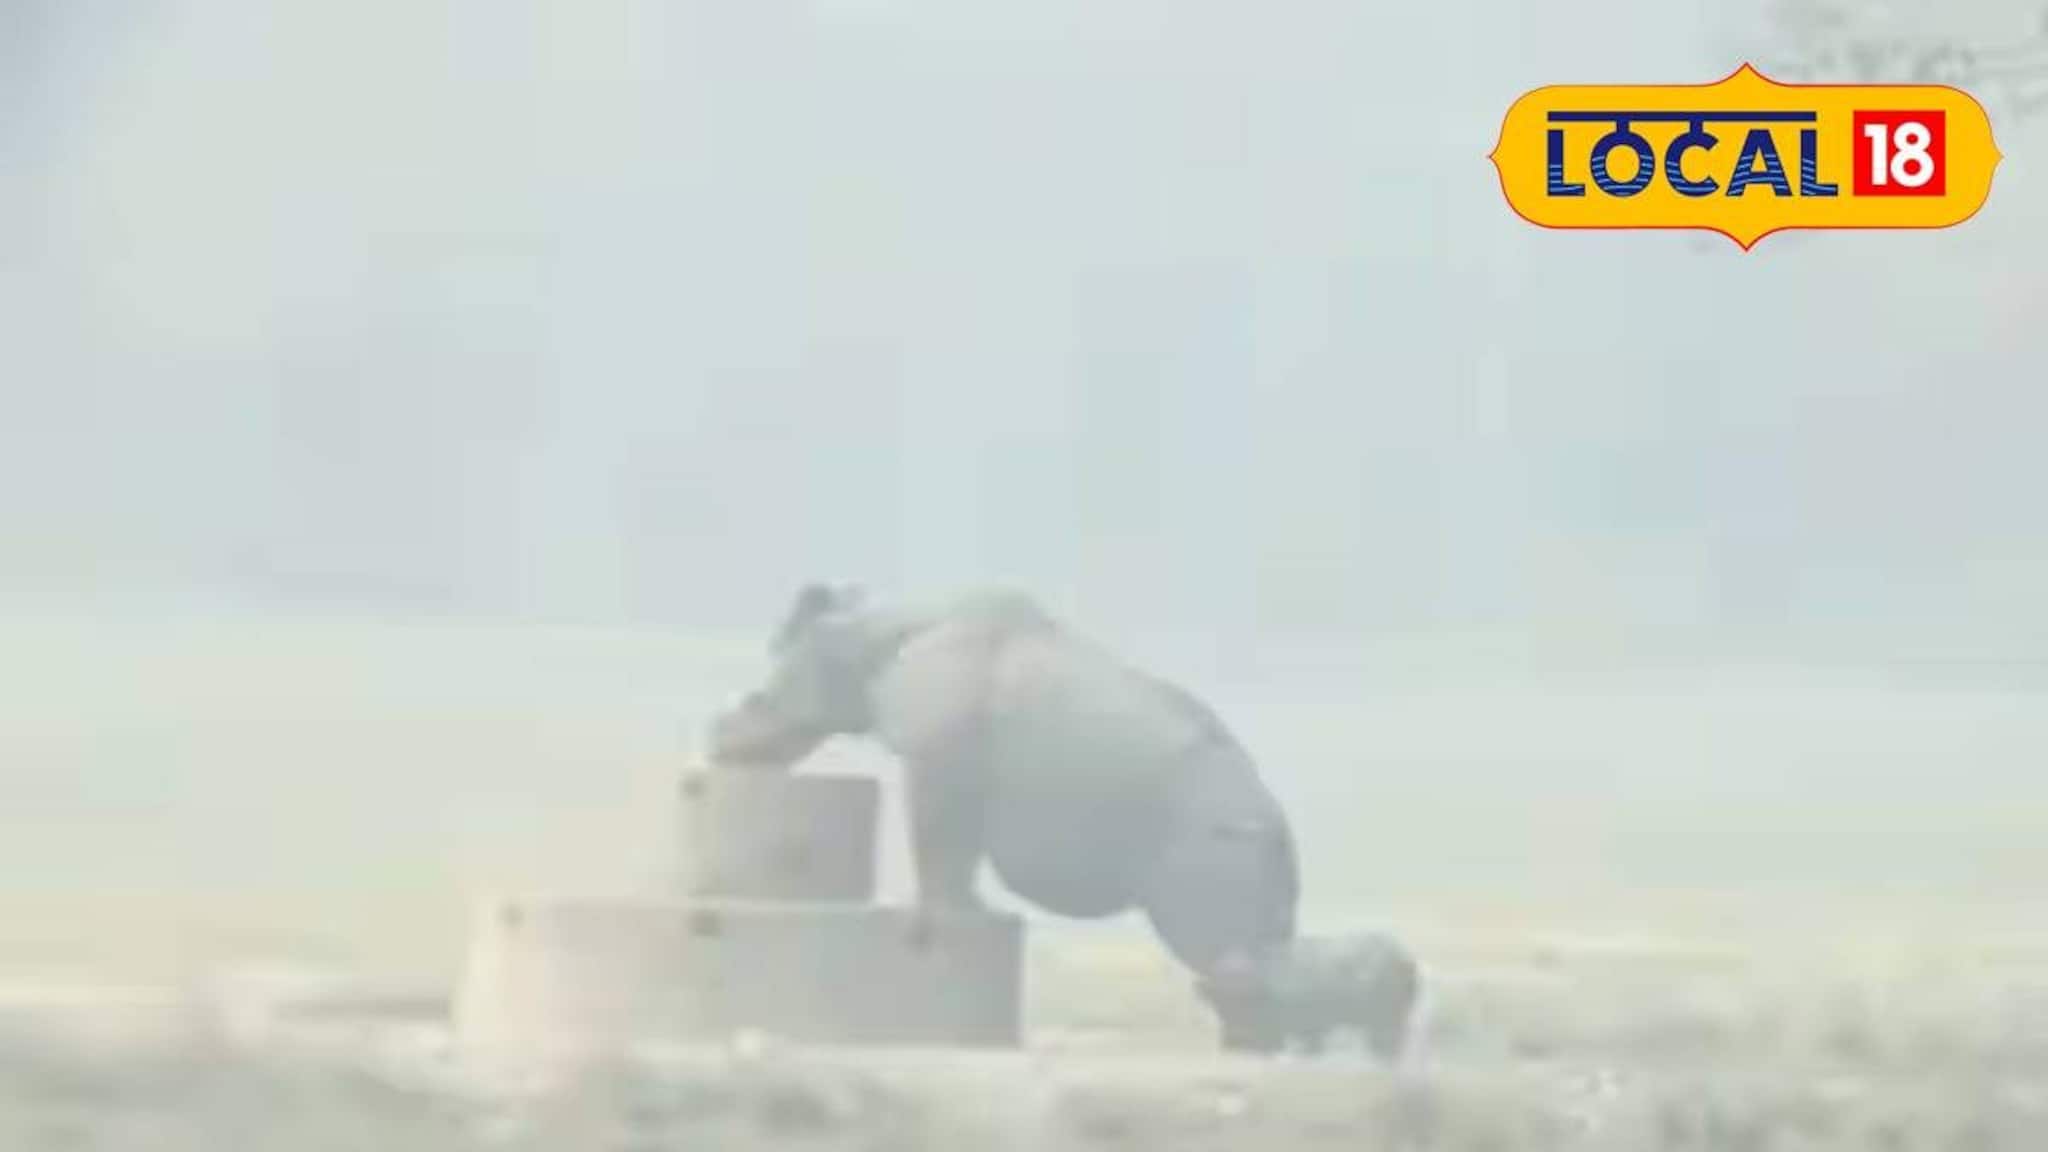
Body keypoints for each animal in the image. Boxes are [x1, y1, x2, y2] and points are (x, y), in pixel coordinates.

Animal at [705, 583, 1318, 1047]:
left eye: (760, 700)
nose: (720, 743)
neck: (864, 642)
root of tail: (1277, 828)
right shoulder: (958, 769)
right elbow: (955, 846)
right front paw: (970, 913)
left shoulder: (939, 759)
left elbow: (939, 843)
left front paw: (941, 921)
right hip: (1243, 838)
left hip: (1207, 836)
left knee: (1206, 938)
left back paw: (1250, 1044)